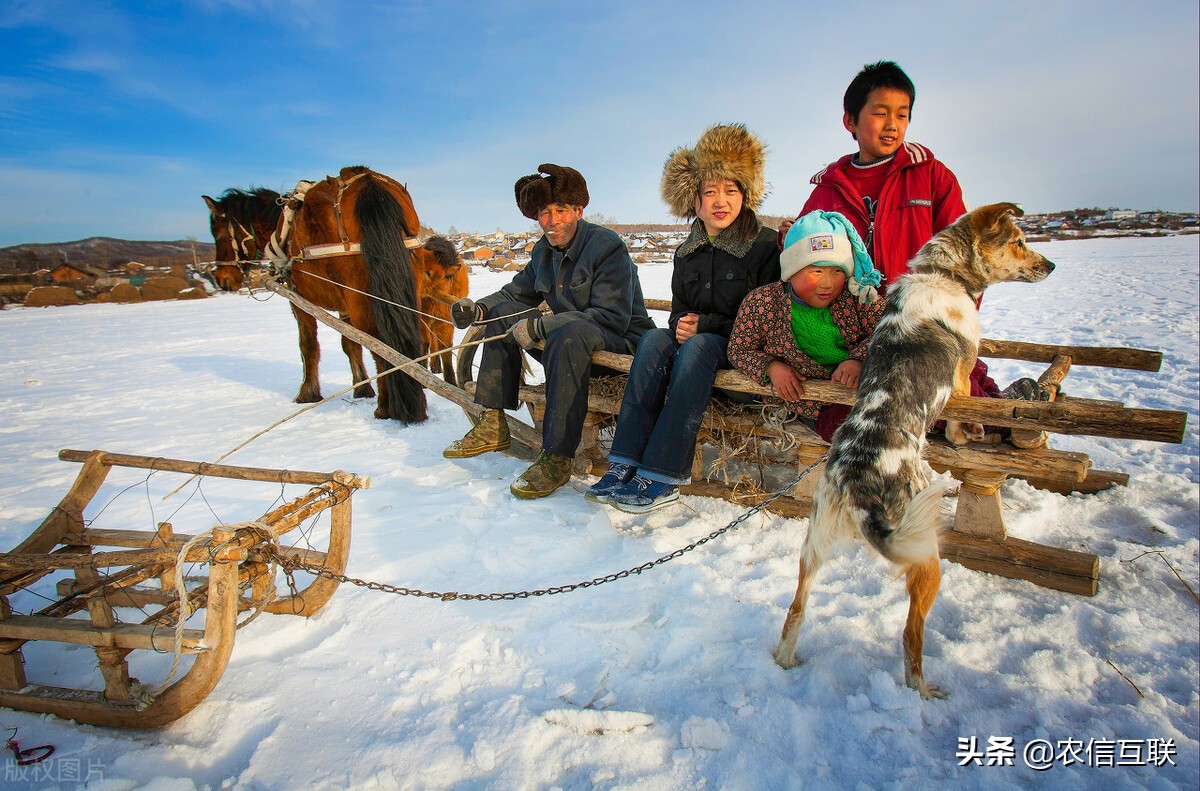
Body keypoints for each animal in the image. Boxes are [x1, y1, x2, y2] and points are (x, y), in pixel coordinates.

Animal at [280, 166, 432, 424]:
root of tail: (368, 182)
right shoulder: (344, 307)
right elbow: (350, 345)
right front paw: (362, 387)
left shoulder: (298, 300)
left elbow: (308, 344)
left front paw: (308, 393)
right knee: (414, 342)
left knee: (380, 345)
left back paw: (386, 408)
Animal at [772, 202, 1056, 700]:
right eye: (1020, 241)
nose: (1052, 265)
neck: (941, 274)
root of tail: (859, 484)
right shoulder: (961, 375)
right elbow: (964, 408)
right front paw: (966, 435)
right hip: (925, 553)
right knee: (910, 634)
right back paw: (923, 691)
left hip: (814, 543)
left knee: (796, 608)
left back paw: (787, 662)